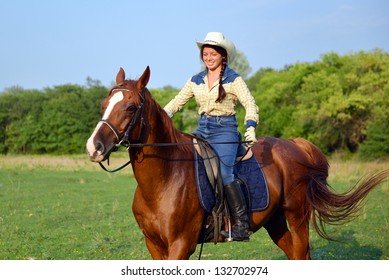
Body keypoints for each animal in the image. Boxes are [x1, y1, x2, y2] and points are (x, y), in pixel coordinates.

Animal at [86, 66, 386, 260]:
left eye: (131, 107)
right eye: (103, 104)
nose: (94, 146)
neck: (165, 178)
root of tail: (296, 144)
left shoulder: (181, 246)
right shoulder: (155, 246)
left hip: (297, 215)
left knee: (302, 253)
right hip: (275, 220)